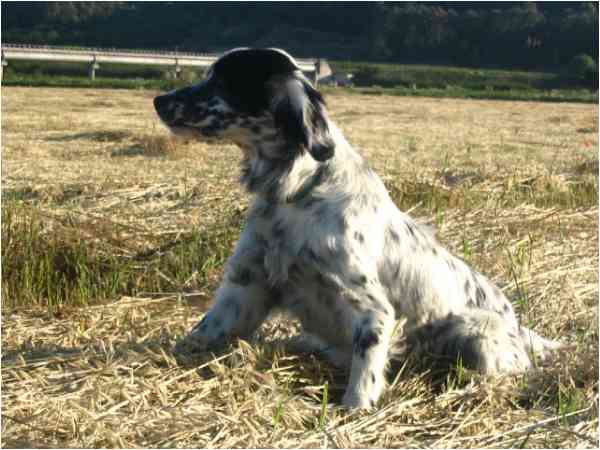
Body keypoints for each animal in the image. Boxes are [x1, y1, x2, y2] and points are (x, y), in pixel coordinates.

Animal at [154, 48, 561, 409]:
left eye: (221, 81)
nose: (158, 100)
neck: (295, 192)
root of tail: (518, 324)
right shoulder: (245, 287)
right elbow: (201, 333)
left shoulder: (373, 310)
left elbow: (366, 368)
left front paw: (355, 409)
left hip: (475, 333)